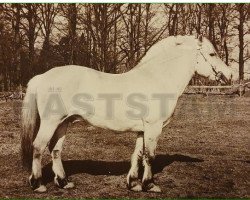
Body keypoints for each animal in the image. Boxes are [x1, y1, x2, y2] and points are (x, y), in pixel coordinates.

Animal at [21, 35, 232, 193]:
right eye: (212, 53)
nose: (229, 75)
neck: (158, 78)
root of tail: (42, 76)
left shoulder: (142, 129)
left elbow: (137, 154)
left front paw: (133, 184)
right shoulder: (153, 127)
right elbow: (150, 156)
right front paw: (150, 185)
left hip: (63, 123)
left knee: (55, 150)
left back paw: (64, 182)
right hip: (50, 122)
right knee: (38, 147)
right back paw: (38, 184)